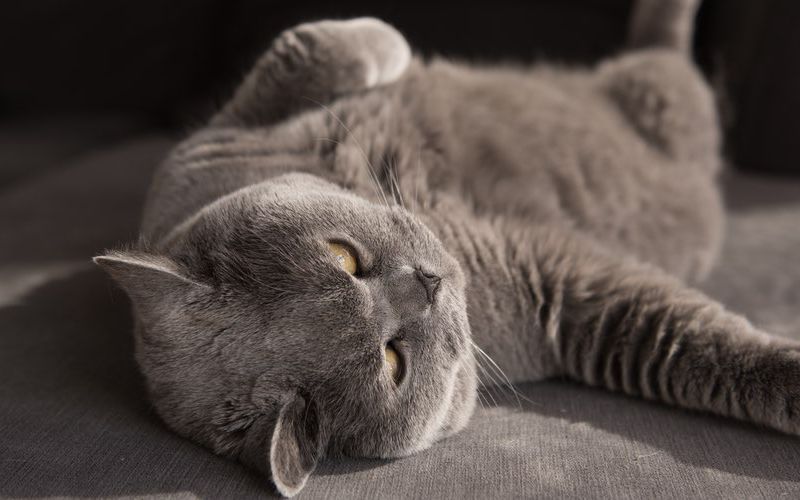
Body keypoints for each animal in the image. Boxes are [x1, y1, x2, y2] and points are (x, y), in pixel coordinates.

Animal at [92, 0, 800, 496]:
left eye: (344, 256)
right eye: (393, 359)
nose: (427, 282)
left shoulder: (213, 142)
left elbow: (310, 47)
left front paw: (393, 46)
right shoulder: (564, 290)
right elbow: (690, 340)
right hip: (669, 109)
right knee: (668, 59)